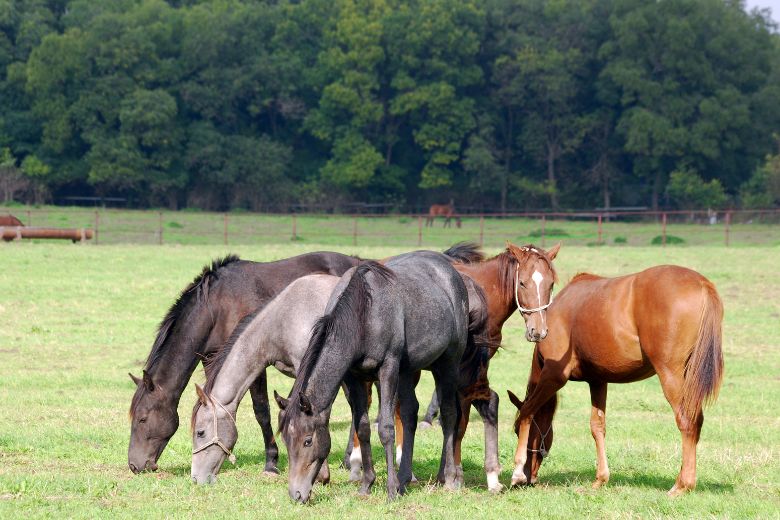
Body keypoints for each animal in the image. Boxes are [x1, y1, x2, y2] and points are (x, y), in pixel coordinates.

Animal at [128, 252, 360, 476]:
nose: (134, 465)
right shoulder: (211, 360)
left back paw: (348, 460)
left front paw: (271, 462)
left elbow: (261, 411)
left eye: (142, 419)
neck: (217, 307)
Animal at [506, 266, 724, 498]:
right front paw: (601, 479)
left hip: (671, 376)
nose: (528, 479)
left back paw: (683, 485)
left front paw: (516, 473)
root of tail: (702, 283)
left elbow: (528, 411)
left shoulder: (553, 376)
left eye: (516, 431)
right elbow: (597, 427)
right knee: (696, 421)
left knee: (686, 421)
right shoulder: (598, 381)